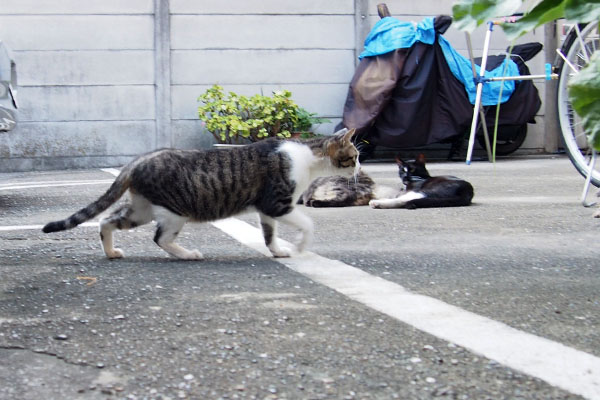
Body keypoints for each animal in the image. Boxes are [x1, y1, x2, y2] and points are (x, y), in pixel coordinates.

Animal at [44, 128, 360, 260]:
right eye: (354, 156)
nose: (360, 166)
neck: (308, 157)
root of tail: (138, 161)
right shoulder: (278, 203)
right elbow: (308, 223)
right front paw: (300, 247)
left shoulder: (266, 210)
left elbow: (269, 235)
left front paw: (279, 251)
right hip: (175, 211)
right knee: (160, 238)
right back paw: (188, 255)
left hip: (142, 209)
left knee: (105, 220)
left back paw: (111, 252)